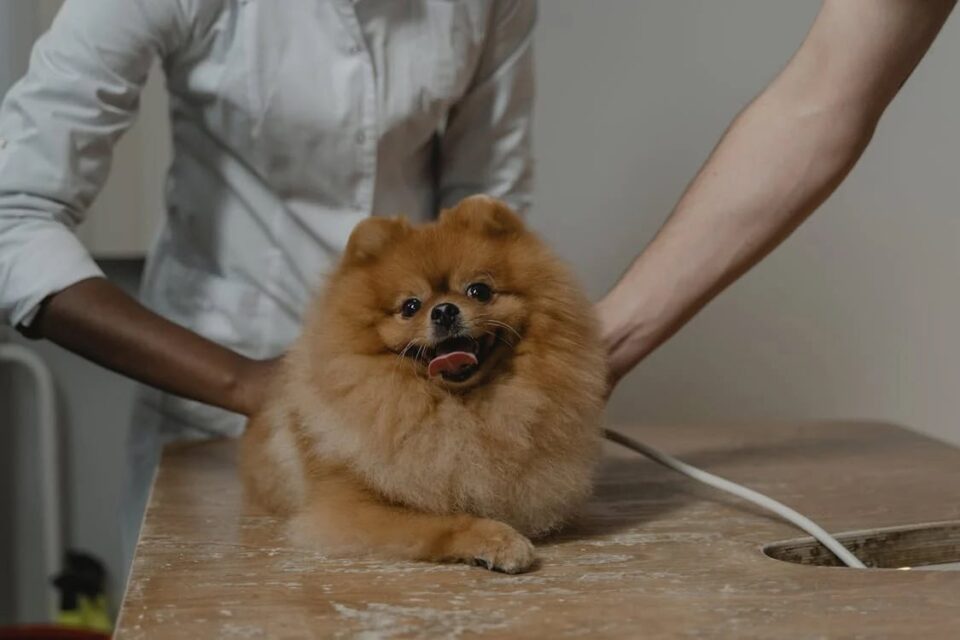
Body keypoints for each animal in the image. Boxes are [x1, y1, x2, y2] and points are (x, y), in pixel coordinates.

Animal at [240, 195, 604, 576]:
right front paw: (497, 539)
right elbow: (438, 521)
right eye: (410, 306)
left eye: (479, 290)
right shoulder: (346, 506)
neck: (459, 407)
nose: (444, 310)